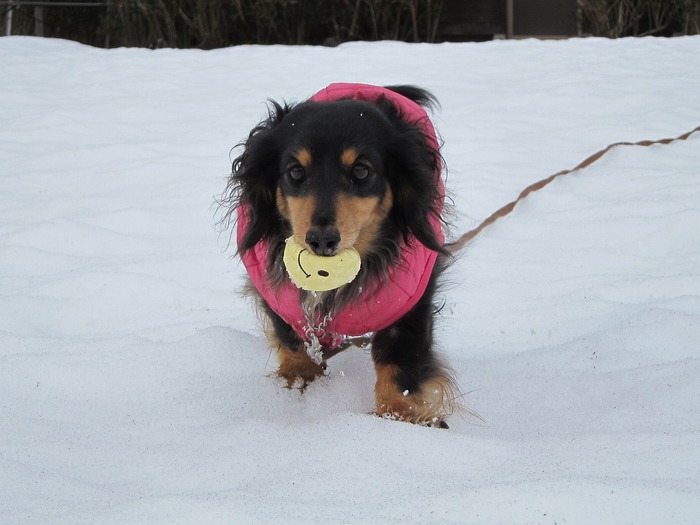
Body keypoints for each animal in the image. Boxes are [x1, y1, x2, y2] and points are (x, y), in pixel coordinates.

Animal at [226, 82, 460, 426]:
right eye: (295, 172)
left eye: (361, 171)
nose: (321, 240)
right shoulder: (277, 300)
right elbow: (291, 339)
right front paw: (296, 383)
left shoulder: (414, 301)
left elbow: (400, 361)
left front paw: (400, 414)